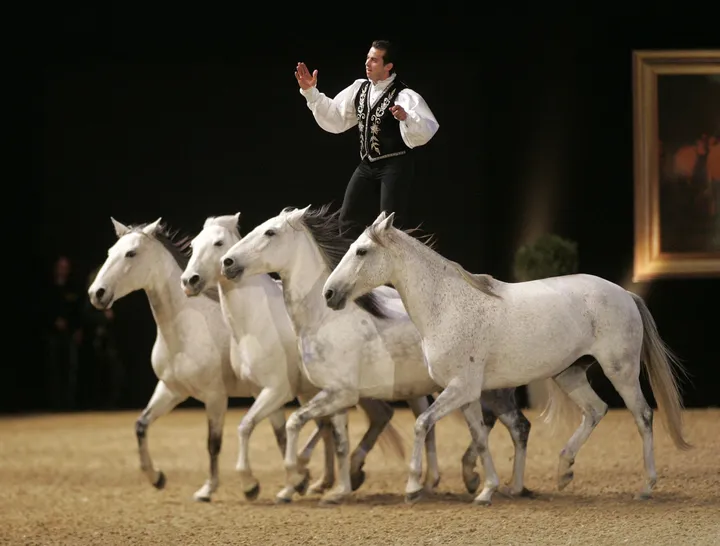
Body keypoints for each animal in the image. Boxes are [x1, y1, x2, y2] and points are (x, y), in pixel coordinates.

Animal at [87, 217, 314, 502]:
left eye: (131, 253)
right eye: (110, 253)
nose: (97, 293)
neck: (184, 331)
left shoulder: (215, 397)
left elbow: (213, 443)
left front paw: (212, 488)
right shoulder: (171, 390)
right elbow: (141, 425)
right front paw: (157, 477)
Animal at [179, 213, 406, 504]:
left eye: (218, 243)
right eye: (193, 244)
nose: (189, 280)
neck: (254, 321)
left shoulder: (278, 390)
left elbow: (246, 426)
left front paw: (260, 484)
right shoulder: (264, 392)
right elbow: (274, 433)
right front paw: (291, 483)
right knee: (365, 421)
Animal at [218, 204, 534, 504]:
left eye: (270, 232)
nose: (228, 263)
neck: (324, 319)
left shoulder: (336, 393)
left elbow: (294, 423)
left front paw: (290, 482)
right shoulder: (333, 396)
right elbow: (338, 441)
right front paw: (337, 491)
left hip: (489, 390)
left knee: (515, 426)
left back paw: (492, 483)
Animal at [323, 210, 692, 505]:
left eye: (362, 251)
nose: (329, 293)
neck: (447, 307)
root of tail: (625, 293)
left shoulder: (459, 389)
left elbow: (422, 424)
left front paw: (413, 487)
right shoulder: (468, 394)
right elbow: (480, 439)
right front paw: (486, 490)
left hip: (621, 371)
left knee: (643, 416)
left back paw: (645, 487)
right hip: (570, 374)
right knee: (595, 410)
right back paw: (563, 470)